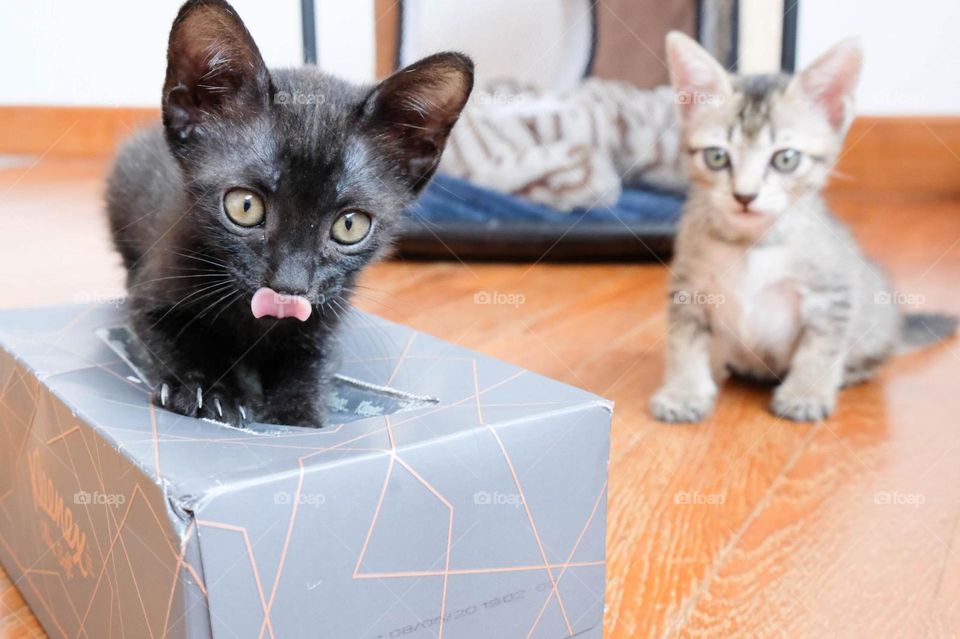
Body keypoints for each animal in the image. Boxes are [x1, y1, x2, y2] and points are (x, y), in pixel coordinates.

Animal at [107, 1, 474, 430]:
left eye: (350, 225)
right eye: (245, 206)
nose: (289, 287)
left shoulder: (327, 316)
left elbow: (310, 368)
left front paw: (294, 415)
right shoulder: (155, 289)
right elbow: (176, 334)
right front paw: (208, 390)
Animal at [648, 35, 956, 424]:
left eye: (785, 158)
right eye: (717, 156)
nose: (744, 195)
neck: (751, 245)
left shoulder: (831, 294)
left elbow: (819, 349)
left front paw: (806, 393)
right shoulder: (688, 289)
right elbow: (684, 343)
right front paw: (684, 391)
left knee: (872, 360)